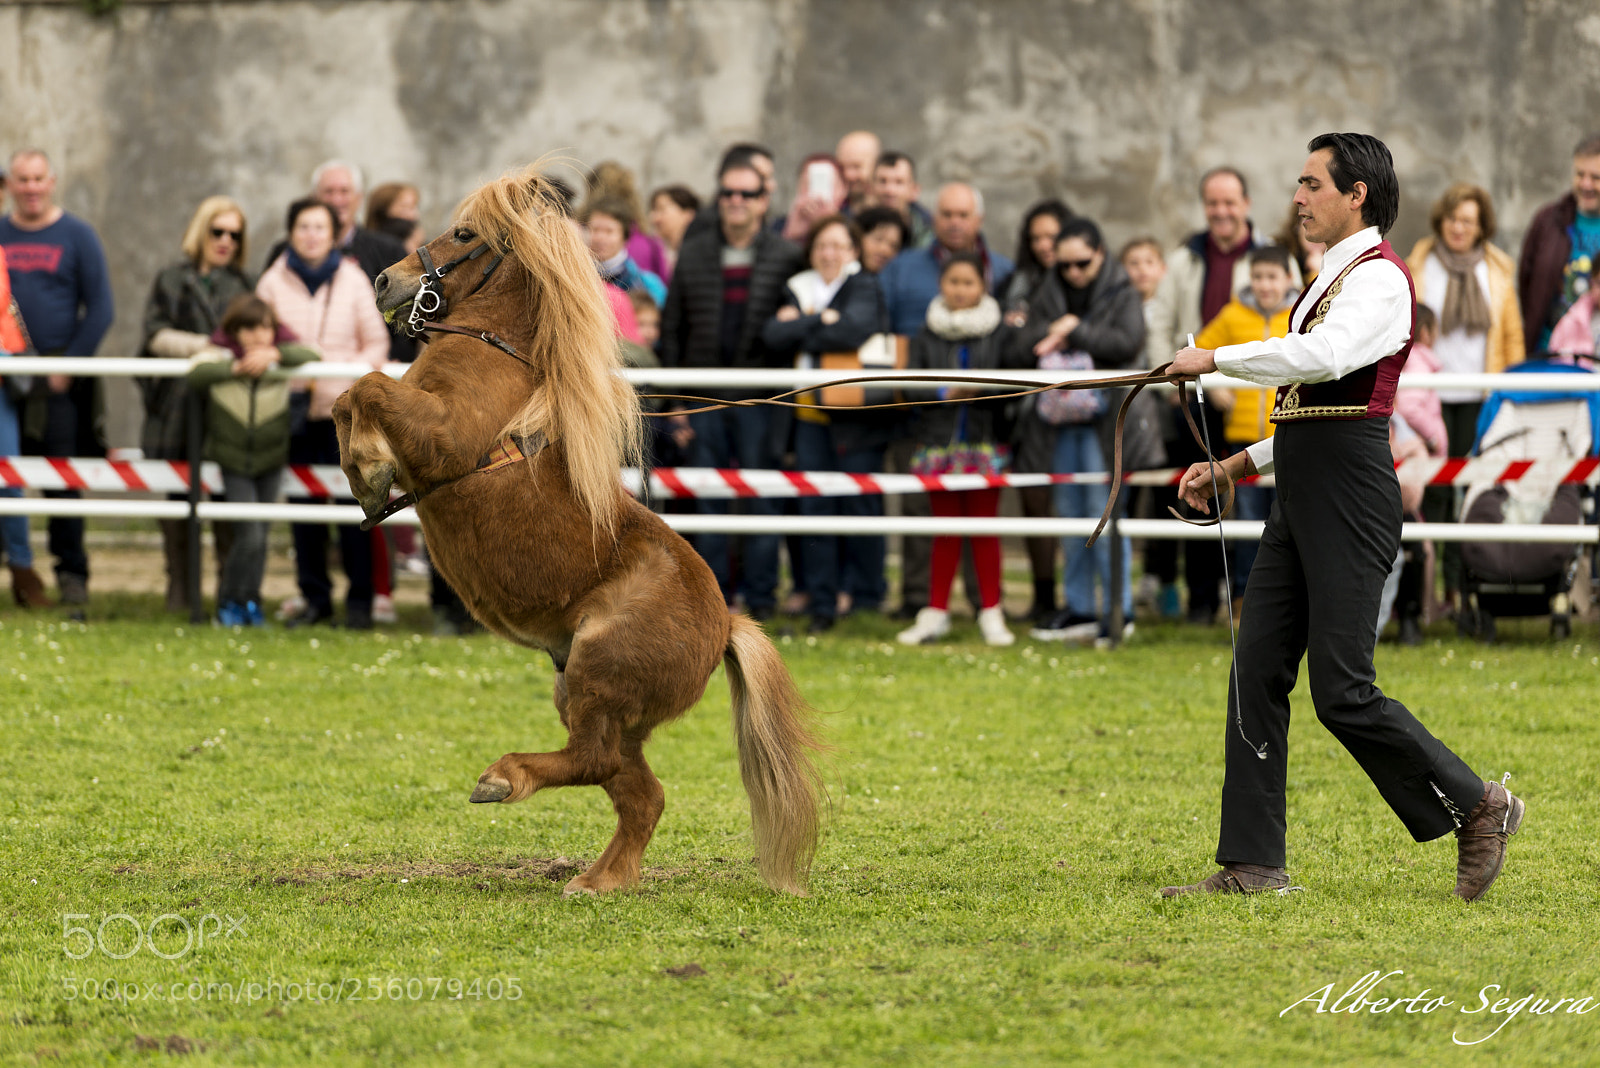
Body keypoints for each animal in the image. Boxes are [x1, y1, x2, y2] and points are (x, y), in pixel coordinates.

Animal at [332, 165, 826, 896]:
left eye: (464, 233)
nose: (383, 282)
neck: (495, 353)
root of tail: (726, 625)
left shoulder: (444, 436)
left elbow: (364, 387)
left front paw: (368, 470)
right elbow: (351, 395)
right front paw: (364, 470)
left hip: (598, 679)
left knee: (594, 762)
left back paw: (504, 779)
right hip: (596, 701)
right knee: (637, 790)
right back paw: (600, 878)